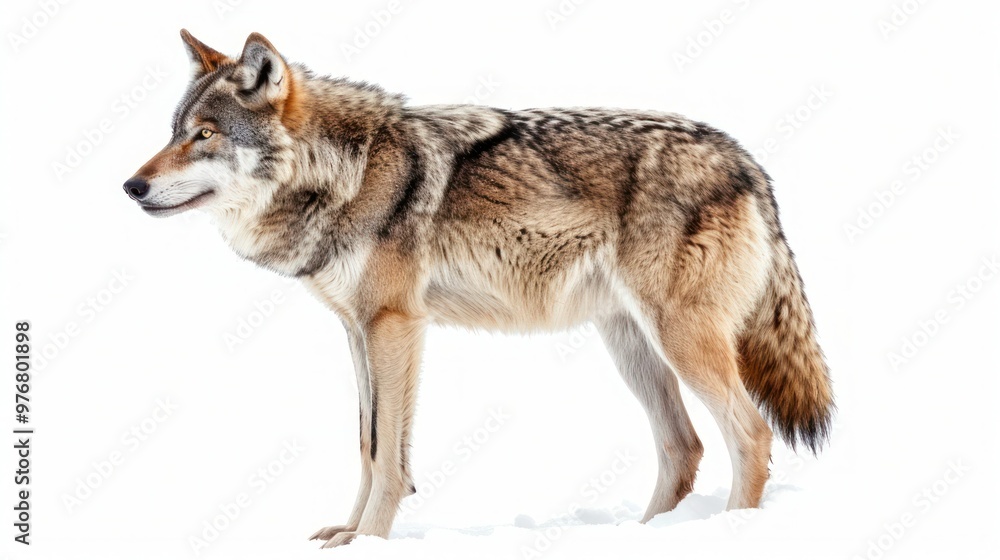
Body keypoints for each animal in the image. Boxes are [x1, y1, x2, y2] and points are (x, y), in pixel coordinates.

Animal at [124, 30, 834, 547]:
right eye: (173, 131)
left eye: (204, 135)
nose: (131, 186)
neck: (345, 172)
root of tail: (749, 161)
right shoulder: (357, 330)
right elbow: (368, 445)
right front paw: (347, 535)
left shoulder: (394, 325)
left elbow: (388, 458)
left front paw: (369, 541)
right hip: (631, 344)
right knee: (683, 447)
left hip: (679, 337)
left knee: (750, 434)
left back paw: (729, 534)